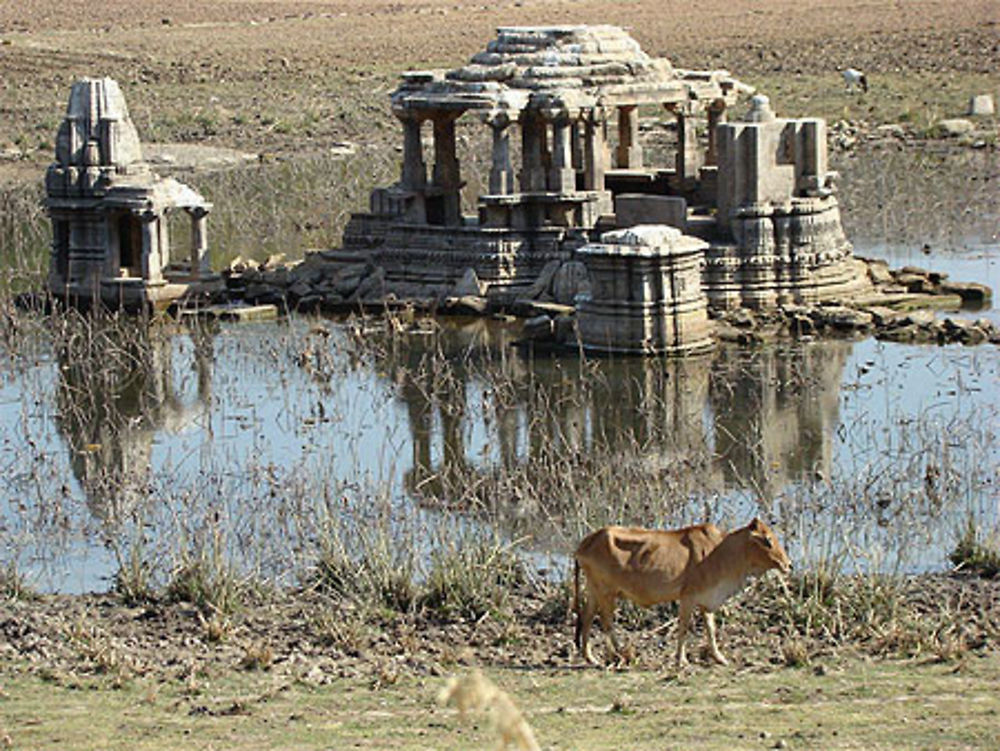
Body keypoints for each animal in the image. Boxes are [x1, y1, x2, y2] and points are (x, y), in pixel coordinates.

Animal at [576, 520, 792, 668]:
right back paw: (621, 654)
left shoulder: (706, 600)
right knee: (607, 623)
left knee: (587, 618)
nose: (788, 564)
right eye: (767, 540)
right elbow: (684, 628)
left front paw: (720, 658)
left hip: (595, 591)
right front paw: (681, 660)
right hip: (606, 592)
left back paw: (591, 658)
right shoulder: (688, 597)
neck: (720, 551)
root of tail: (585, 542)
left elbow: (710, 630)